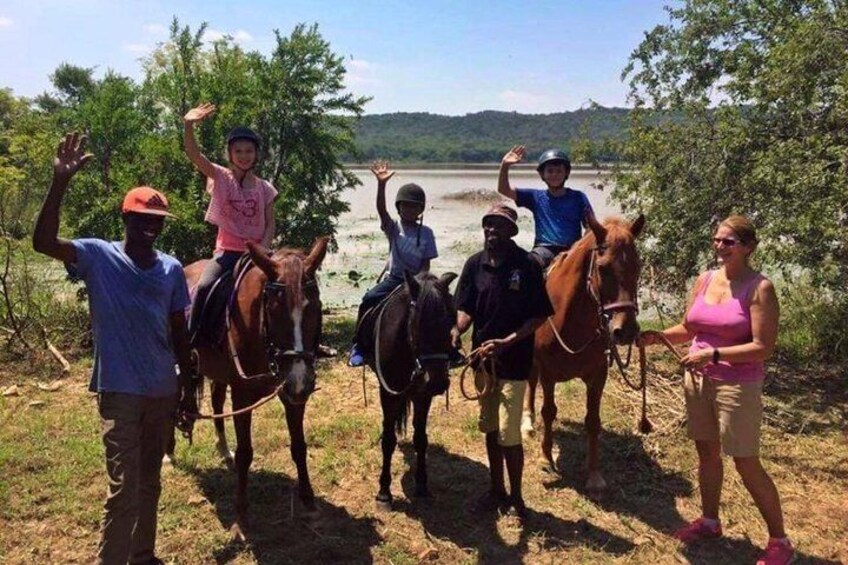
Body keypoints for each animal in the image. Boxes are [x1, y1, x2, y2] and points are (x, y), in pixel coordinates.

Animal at [184, 236, 330, 536]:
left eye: (316, 308)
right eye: (273, 311)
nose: (301, 379)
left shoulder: (291, 392)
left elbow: (299, 446)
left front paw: (309, 503)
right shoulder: (243, 396)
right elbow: (245, 453)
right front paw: (241, 516)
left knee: (217, 402)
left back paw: (222, 449)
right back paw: (168, 454)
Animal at [520, 215, 644, 490]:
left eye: (638, 267)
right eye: (603, 268)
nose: (626, 330)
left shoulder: (598, 375)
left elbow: (593, 421)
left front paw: (594, 473)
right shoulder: (548, 372)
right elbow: (549, 411)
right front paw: (546, 457)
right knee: (530, 384)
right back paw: (527, 422)